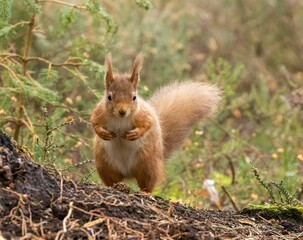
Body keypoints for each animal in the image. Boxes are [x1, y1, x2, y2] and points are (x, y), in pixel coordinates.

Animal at [90, 53, 221, 192]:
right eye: (109, 97)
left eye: (134, 97)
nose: (122, 111)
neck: (120, 119)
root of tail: (128, 173)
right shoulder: (100, 113)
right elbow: (94, 122)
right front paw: (102, 133)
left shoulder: (142, 115)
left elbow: (148, 123)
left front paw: (135, 134)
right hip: (105, 165)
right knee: (112, 180)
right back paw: (118, 185)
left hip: (147, 165)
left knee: (147, 184)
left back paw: (143, 192)